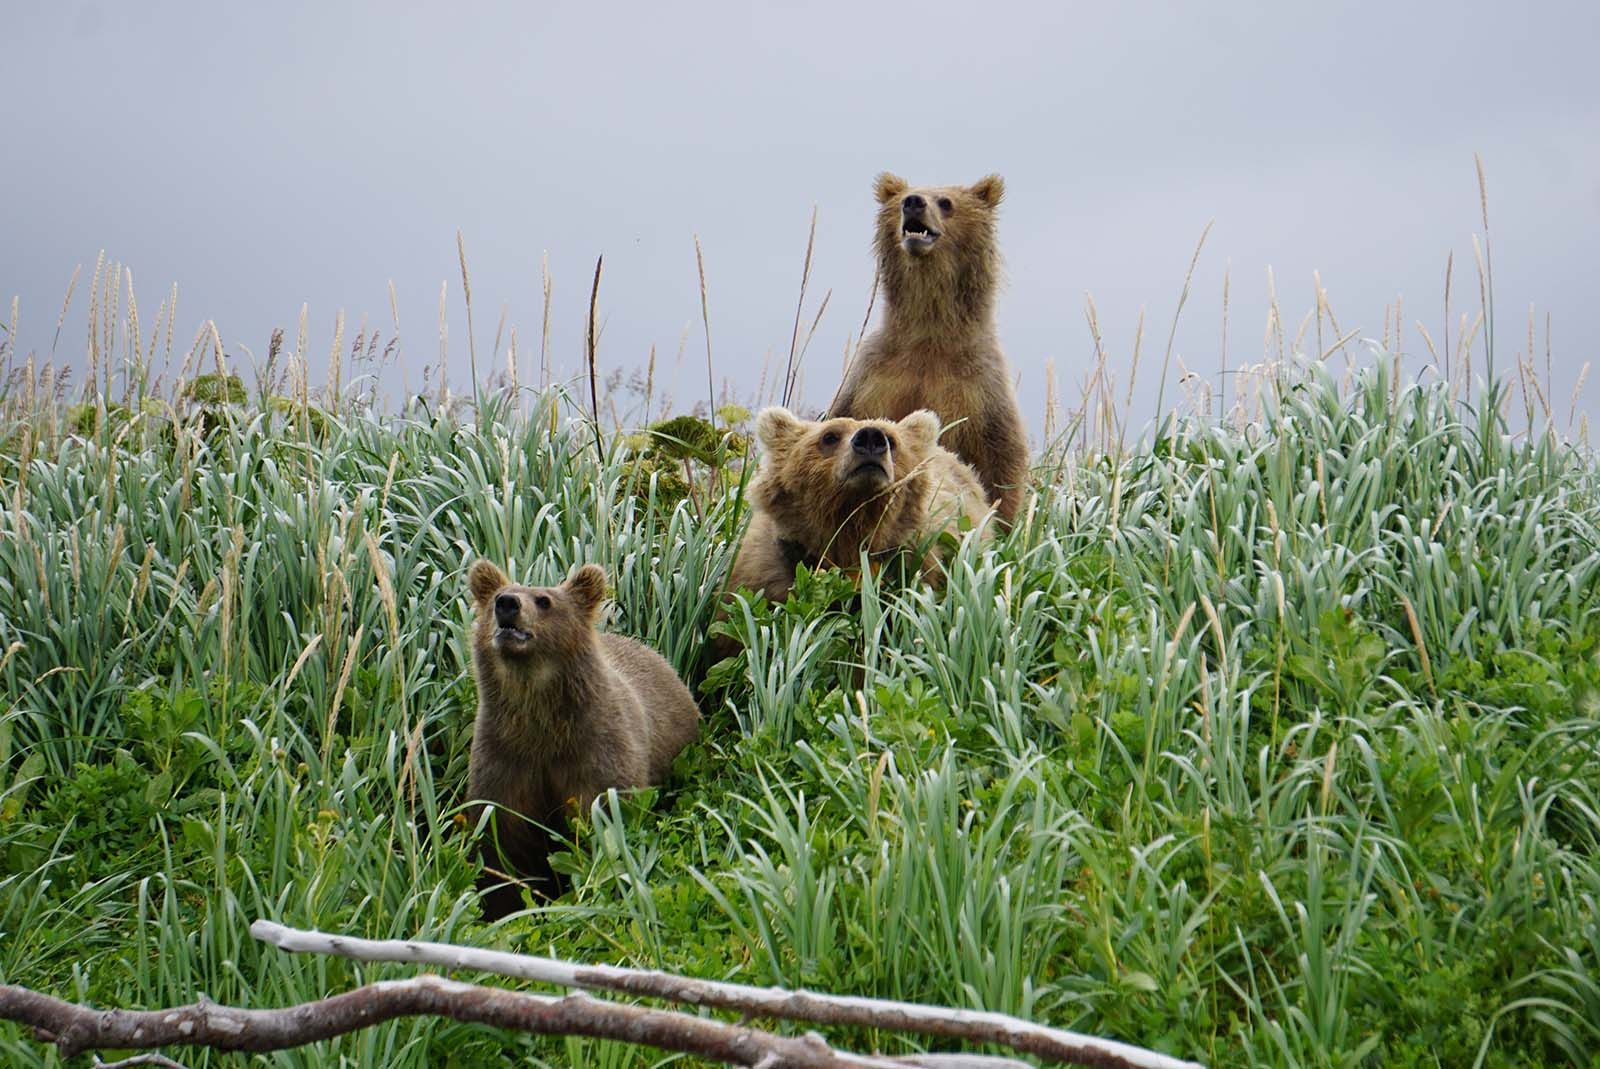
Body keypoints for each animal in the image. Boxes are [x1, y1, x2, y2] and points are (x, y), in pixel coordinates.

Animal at [466, 560, 699, 917]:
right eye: (495, 598)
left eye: (544, 600)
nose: (507, 604)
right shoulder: (506, 756)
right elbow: (502, 842)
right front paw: (503, 903)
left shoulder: (594, 749)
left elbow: (604, 821)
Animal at [826, 171, 1029, 525]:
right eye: (904, 197)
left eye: (945, 202)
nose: (913, 202)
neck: (929, 333)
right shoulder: (872, 377)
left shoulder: (981, 389)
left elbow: (1001, 460)